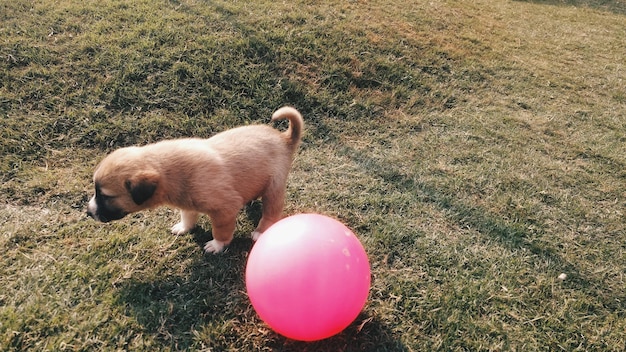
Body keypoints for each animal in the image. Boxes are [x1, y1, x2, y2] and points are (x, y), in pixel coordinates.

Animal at [87, 106, 302, 253]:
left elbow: (221, 231)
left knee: (272, 211)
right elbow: (188, 216)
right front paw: (184, 228)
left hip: (274, 188)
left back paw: (260, 231)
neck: (168, 171)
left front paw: (217, 245)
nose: (88, 212)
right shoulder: (187, 202)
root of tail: (284, 138)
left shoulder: (224, 209)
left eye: (105, 196)